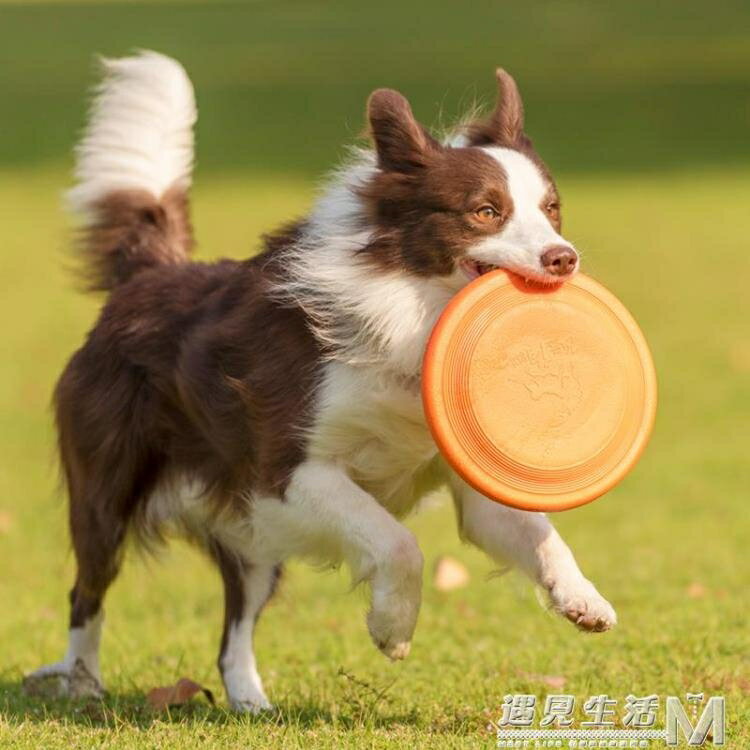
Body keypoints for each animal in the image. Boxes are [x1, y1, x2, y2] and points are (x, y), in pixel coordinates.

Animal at [29, 51, 616, 712]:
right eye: (486, 212)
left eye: (552, 209)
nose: (563, 258)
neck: (415, 316)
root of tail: (147, 276)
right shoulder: (288, 471)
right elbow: (397, 543)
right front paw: (393, 629)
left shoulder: (465, 481)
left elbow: (540, 532)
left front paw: (583, 598)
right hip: (109, 488)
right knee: (87, 590)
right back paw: (82, 682)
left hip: (251, 533)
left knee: (235, 627)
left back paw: (251, 704)